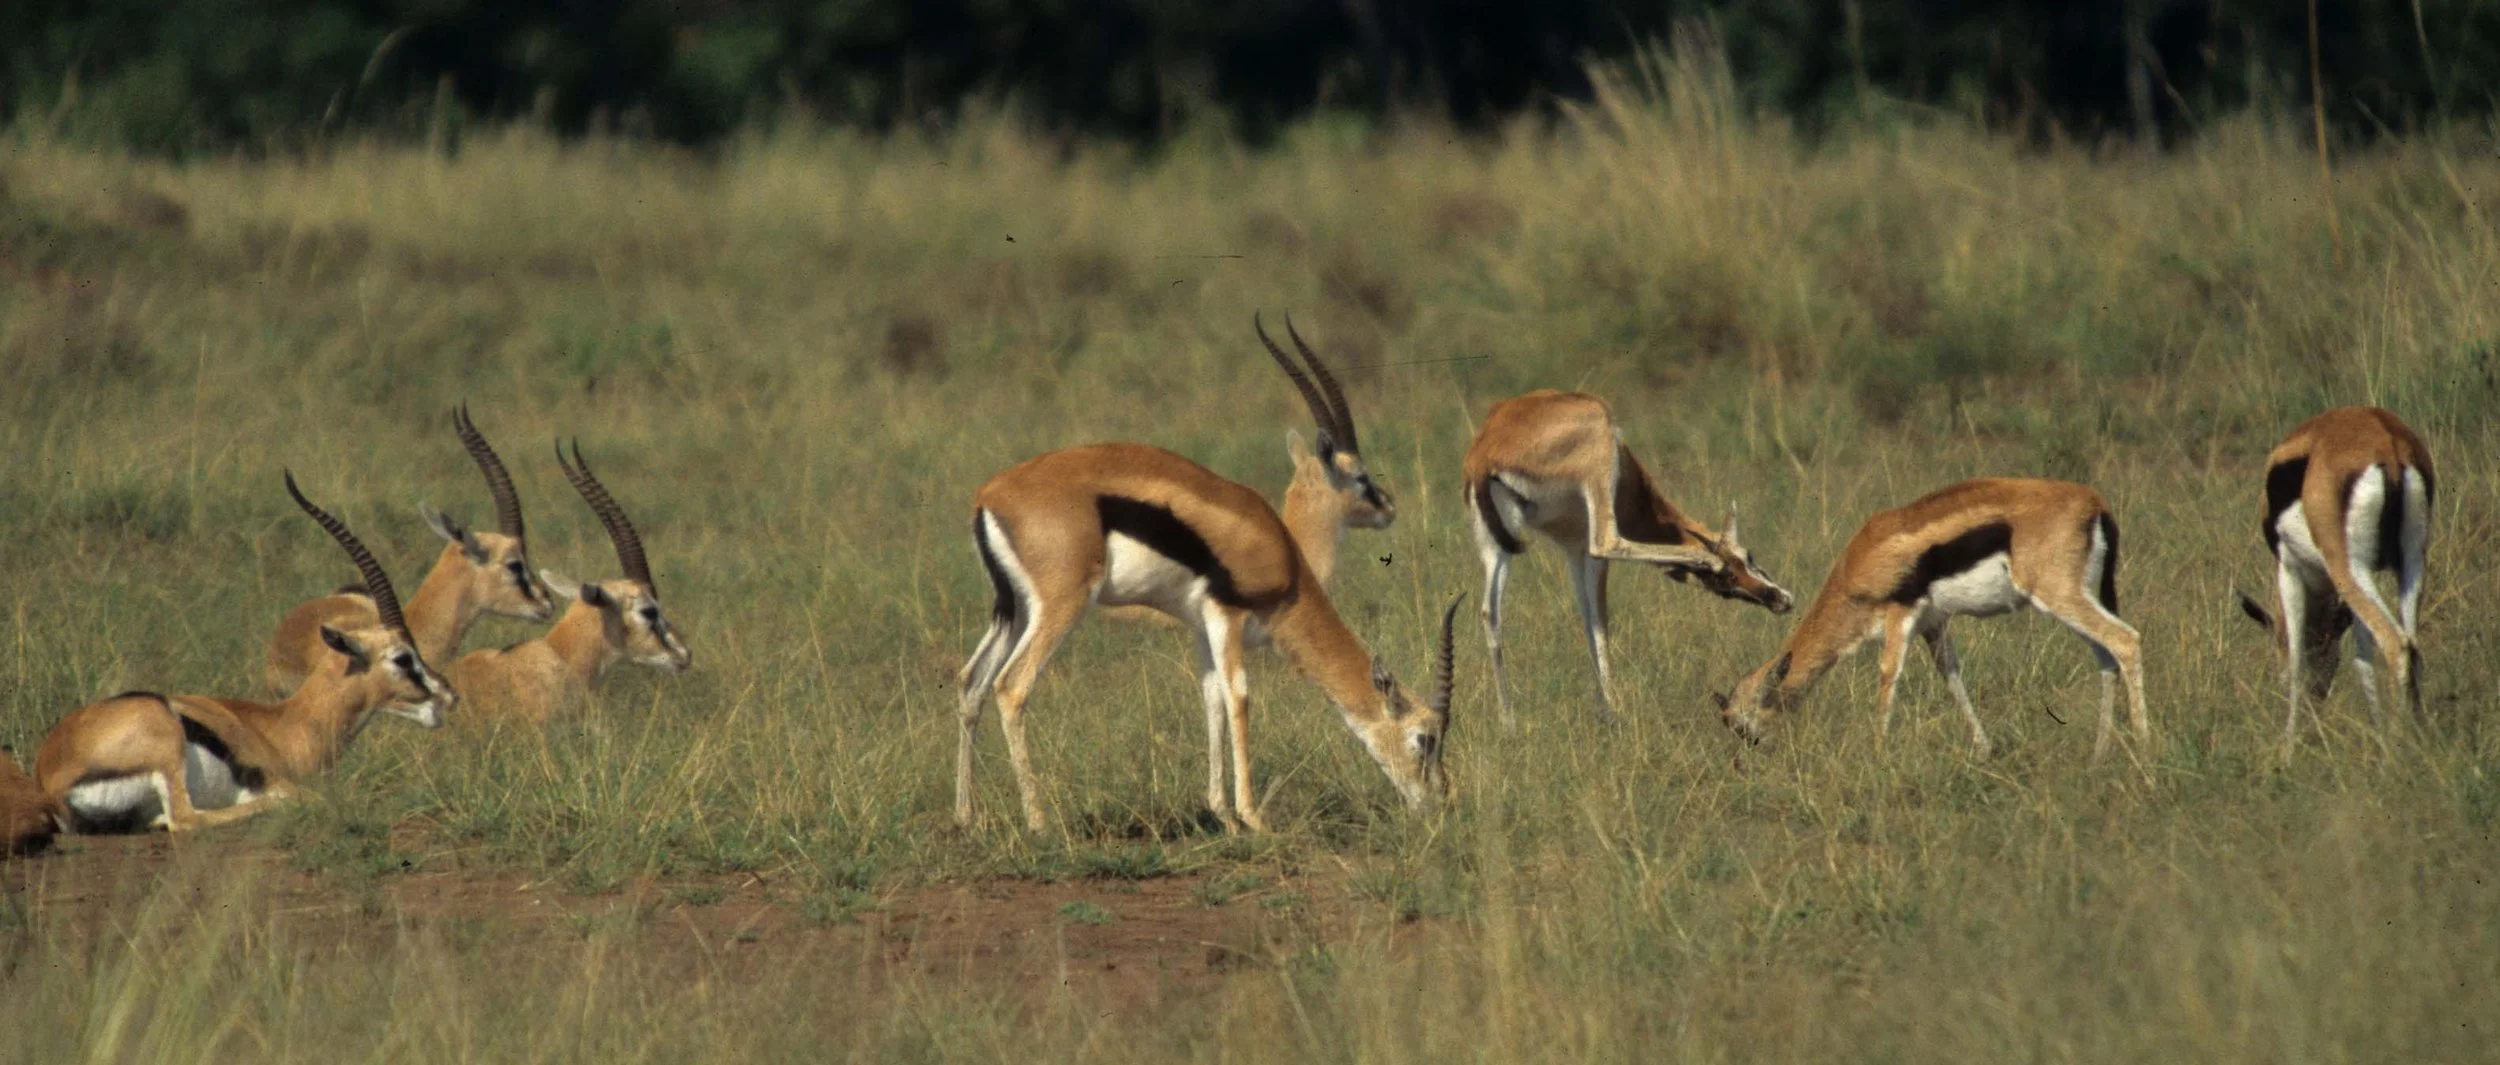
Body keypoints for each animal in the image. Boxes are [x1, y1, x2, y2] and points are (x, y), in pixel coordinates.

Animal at [36, 473, 454, 833]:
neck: (288, 725)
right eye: (403, 657)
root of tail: (50, 773)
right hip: (166, 743)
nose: (448, 695)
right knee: (187, 819)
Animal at [956, 442, 1460, 833]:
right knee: (1011, 686)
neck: (1283, 557)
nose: (1440, 800)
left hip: (1013, 612)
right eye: (1424, 738)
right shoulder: (1226, 616)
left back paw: (967, 817)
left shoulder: (1202, 627)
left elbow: (1212, 700)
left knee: (970, 683)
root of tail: (988, 496)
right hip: (1060, 606)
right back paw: (1039, 822)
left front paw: (1225, 817)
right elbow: (1239, 699)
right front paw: (1254, 819)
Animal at [1463, 390, 1793, 724]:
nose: (1780, 600)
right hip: (1595, 480)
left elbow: (1586, 618)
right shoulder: (1589, 551)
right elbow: (1599, 618)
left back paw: (1508, 720)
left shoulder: (1573, 550)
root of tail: (1484, 455)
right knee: (1607, 542)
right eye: (1744, 559)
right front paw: (1610, 709)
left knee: (1490, 612)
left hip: (1497, 546)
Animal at [1713, 478, 2147, 760]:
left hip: (2059, 595)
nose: (1749, 760)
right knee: (2106, 656)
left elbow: (1888, 677)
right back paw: (2099, 755)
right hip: (2076, 599)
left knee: (2125, 640)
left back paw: (2144, 749)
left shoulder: (1900, 615)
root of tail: (2095, 503)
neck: (1859, 563)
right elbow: (1951, 676)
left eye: (1743, 725)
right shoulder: (1934, 625)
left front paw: (1878, 756)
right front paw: (1984, 750)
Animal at [2232, 406, 2433, 752]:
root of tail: (2387, 442)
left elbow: (2297, 660)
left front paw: (2287, 750)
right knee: (2412, 644)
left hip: (2347, 567)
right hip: (2410, 563)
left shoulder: (2288, 569)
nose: (2318, 698)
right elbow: (2362, 658)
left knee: (2397, 644)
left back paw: (2399, 746)